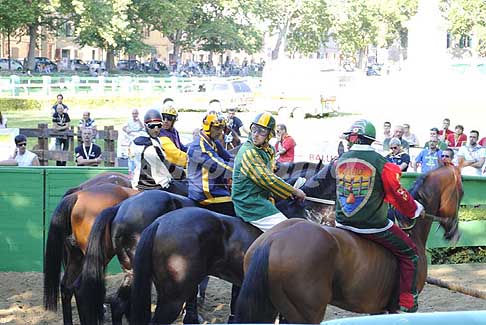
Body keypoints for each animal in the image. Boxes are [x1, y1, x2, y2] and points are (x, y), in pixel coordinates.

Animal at [235, 165, 464, 322]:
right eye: (461, 193)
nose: (454, 232)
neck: (411, 229)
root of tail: (273, 240)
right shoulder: (394, 309)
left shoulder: (377, 309)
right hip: (306, 314)